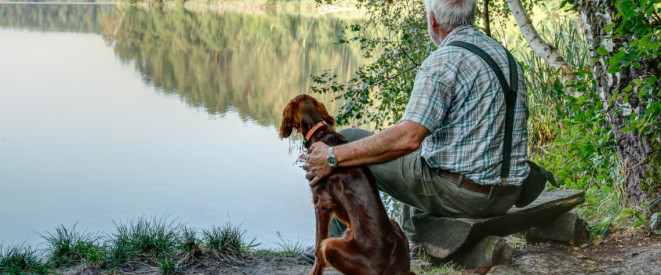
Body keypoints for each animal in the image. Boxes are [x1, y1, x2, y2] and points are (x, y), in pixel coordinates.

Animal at [278, 95, 412, 275]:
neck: (318, 131)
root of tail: (392, 265)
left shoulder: (322, 203)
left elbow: (318, 249)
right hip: (393, 224)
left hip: (332, 246)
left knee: (324, 246)